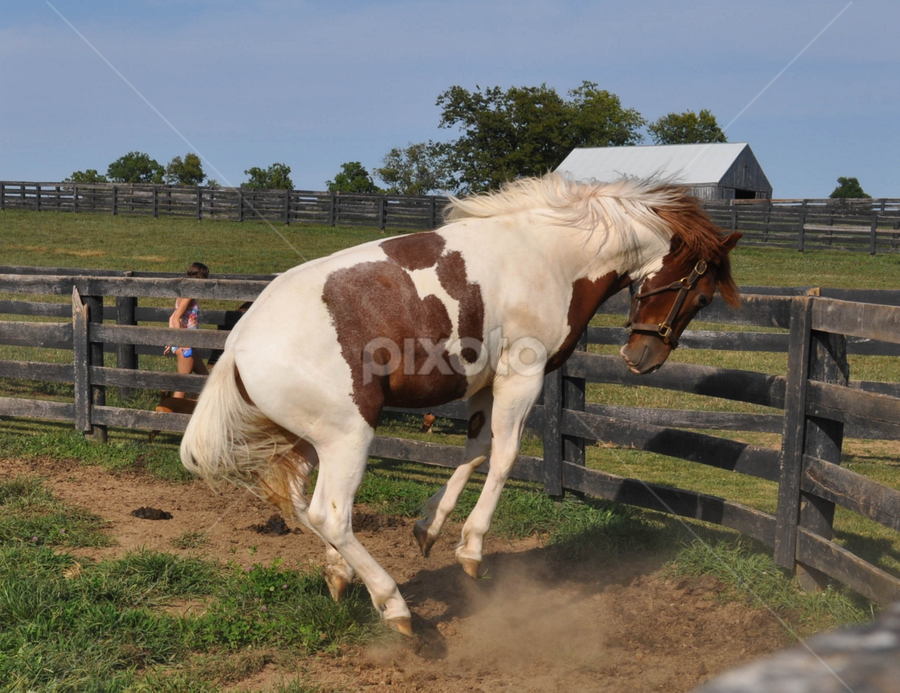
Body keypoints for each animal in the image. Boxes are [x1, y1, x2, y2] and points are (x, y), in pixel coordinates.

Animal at [180, 173, 741, 636]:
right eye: (703, 295)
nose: (643, 358)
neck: (553, 255)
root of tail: (238, 343)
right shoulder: (522, 375)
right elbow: (505, 456)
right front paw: (471, 548)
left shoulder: (484, 383)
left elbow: (474, 450)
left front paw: (429, 526)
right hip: (348, 436)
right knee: (330, 515)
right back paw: (395, 606)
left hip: (305, 439)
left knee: (300, 504)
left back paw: (340, 574)